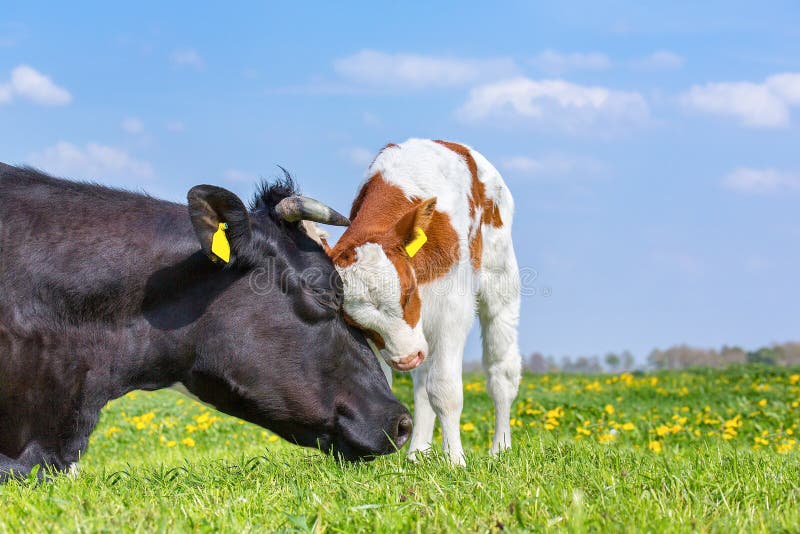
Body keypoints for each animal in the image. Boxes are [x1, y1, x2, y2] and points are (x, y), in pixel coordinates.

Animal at [328, 140, 520, 466]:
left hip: (500, 280)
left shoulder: (452, 311)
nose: (406, 359)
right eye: (356, 322)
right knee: (421, 382)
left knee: (501, 372)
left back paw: (501, 448)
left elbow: (444, 389)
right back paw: (418, 452)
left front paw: (455, 460)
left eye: (407, 294)